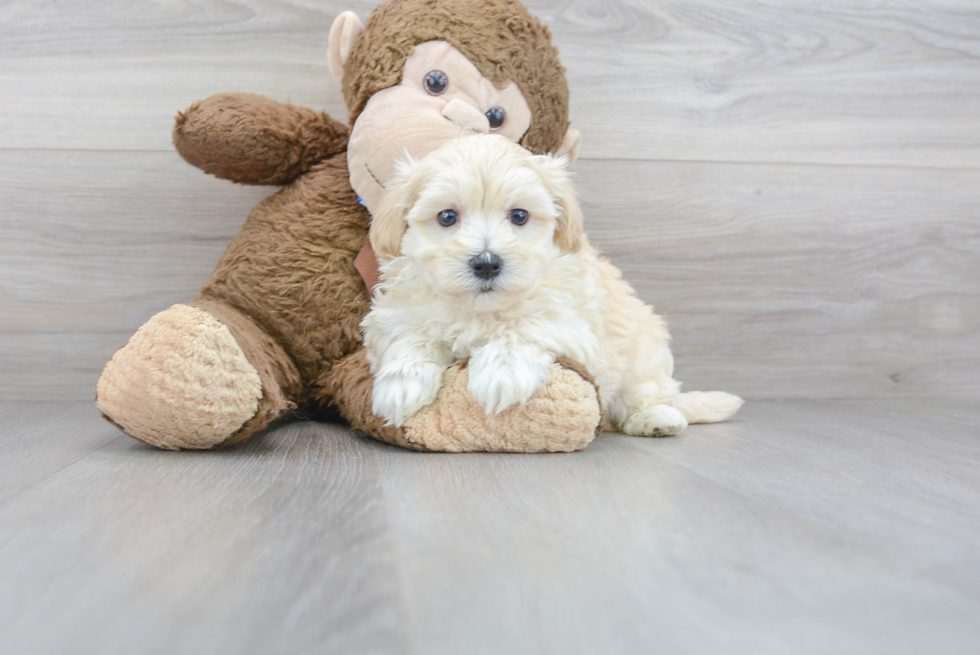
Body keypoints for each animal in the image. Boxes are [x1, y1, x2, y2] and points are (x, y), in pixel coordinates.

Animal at [364, 135, 740, 436]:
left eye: (519, 216)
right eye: (447, 217)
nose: (486, 263)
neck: (481, 312)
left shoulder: (572, 323)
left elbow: (524, 326)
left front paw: (501, 371)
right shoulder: (397, 316)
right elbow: (412, 337)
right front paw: (401, 384)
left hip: (644, 352)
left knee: (647, 394)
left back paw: (657, 418)